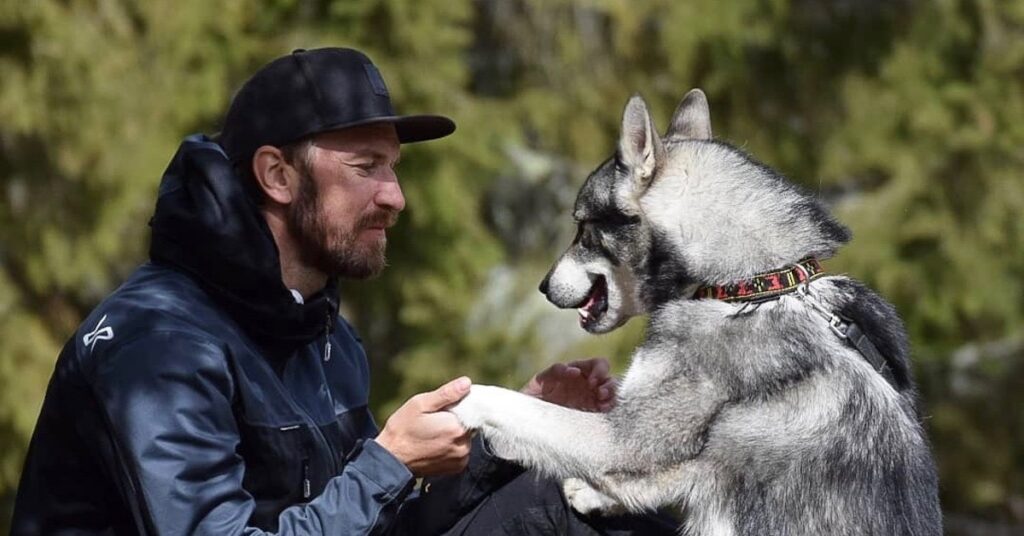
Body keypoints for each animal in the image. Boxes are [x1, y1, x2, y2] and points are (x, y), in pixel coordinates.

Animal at [452, 90, 937, 532]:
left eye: (583, 229)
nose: (543, 285)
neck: (748, 287)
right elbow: (668, 476)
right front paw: (595, 494)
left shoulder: (624, 440)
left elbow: (509, 402)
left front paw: (462, 401)